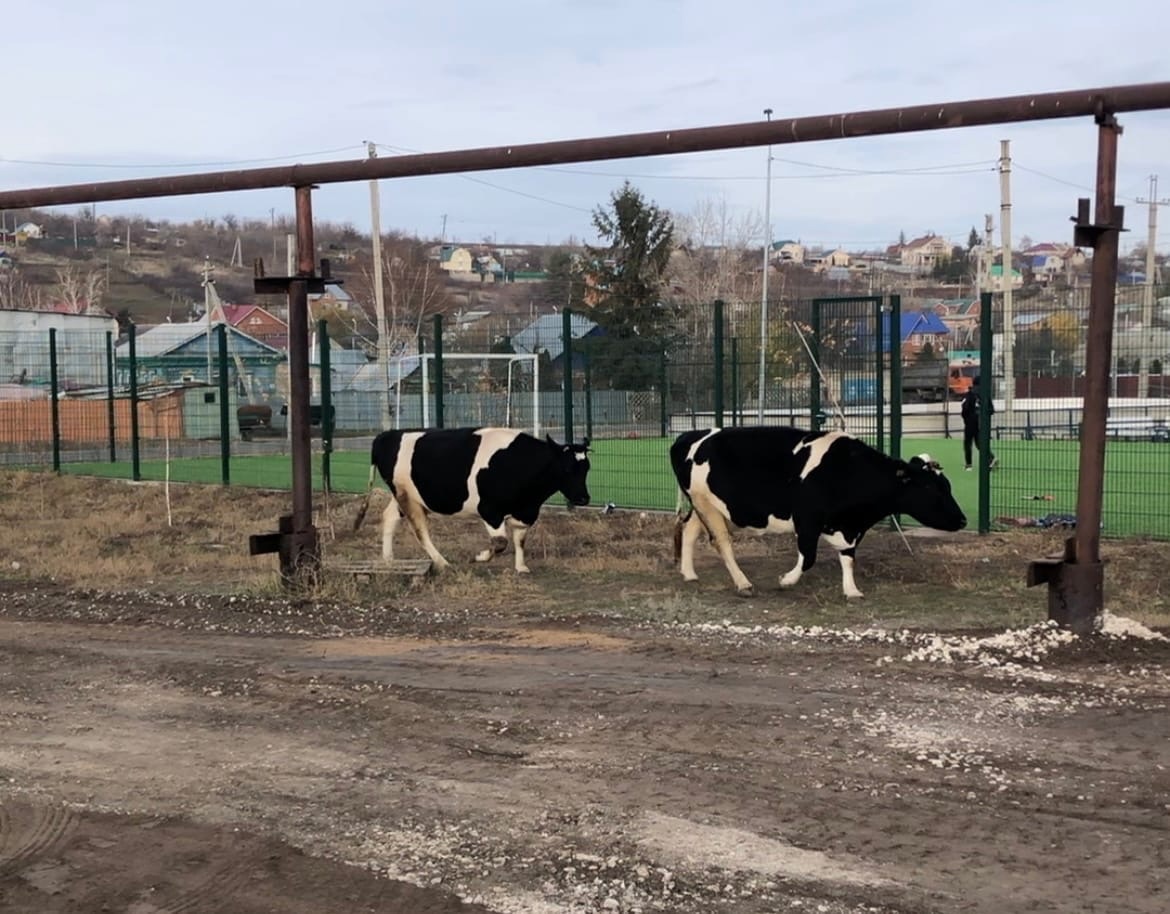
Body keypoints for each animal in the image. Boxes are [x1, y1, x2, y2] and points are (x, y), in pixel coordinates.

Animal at [348, 425, 589, 571]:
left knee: (389, 517)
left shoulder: (525, 512)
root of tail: (387, 435)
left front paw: (521, 567)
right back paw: (442, 562)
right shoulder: (490, 510)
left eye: (586, 468)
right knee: (420, 531)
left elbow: (520, 539)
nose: (583, 498)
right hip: (408, 498)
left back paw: (388, 559)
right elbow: (500, 543)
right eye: (567, 469)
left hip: (404, 496)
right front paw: (479, 557)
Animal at [673, 425, 964, 599]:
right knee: (721, 542)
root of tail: (691, 435)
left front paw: (851, 590)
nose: (962, 520)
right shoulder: (807, 519)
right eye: (930, 487)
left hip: (706, 506)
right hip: (706, 505)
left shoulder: (850, 527)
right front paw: (787, 580)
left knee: (688, 530)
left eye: (948, 486)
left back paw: (689, 574)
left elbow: (848, 557)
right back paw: (743, 584)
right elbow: (809, 557)